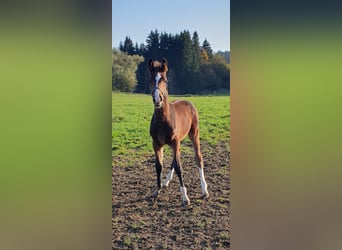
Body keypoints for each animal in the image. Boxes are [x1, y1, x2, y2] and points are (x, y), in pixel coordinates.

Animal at [149, 57, 210, 206]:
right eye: (151, 80)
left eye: (165, 80)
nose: (157, 98)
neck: (163, 121)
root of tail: (188, 102)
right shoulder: (156, 144)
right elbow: (158, 166)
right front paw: (157, 190)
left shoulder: (175, 142)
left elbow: (179, 167)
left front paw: (185, 197)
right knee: (176, 157)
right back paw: (165, 182)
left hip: (194, 134)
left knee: (198, 158)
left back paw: (204, 190)